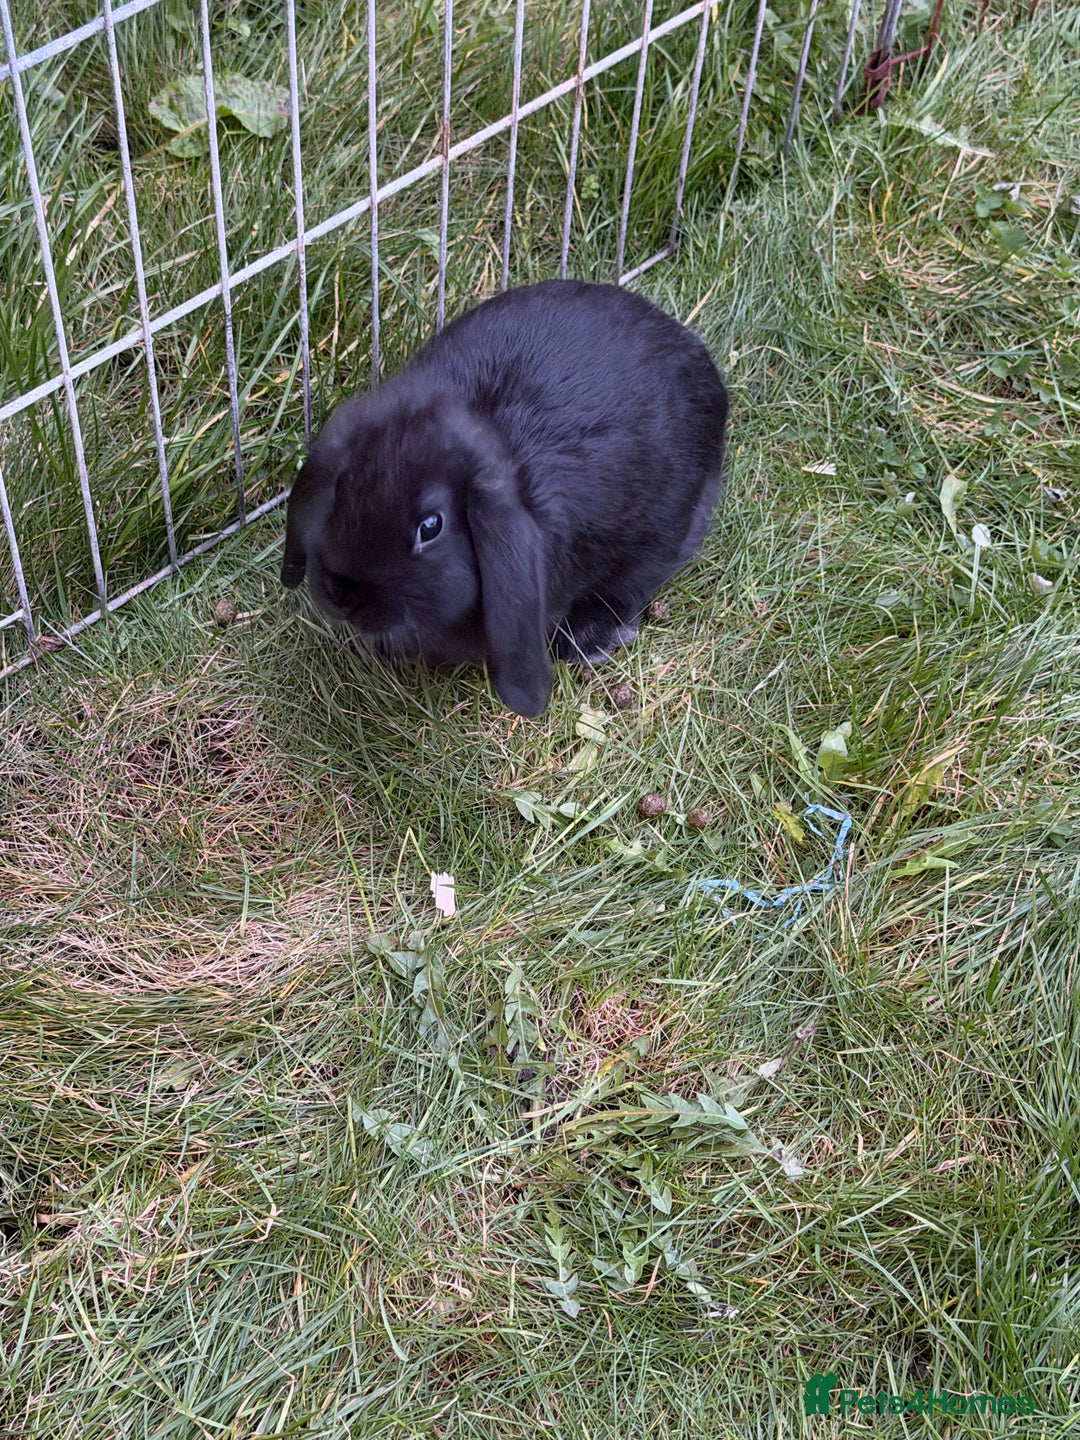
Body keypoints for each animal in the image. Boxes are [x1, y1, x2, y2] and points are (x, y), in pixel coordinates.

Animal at [281, 278, 728, 717]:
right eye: (343, 486)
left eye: (430, 527)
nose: (341, 596)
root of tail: (693, 353)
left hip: (662, 535)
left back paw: (586, 640)